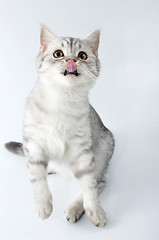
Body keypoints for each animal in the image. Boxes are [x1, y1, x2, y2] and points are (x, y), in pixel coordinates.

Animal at [4, 25, 114, 228]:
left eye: (82, 55)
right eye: (58, 54)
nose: (71, 60)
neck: (62, 99)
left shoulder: (83, 151)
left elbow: (89, 187)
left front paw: (95, 211)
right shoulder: (33, 143)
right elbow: (37, 178)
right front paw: (43, 205)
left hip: (103, 150)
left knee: (98, 183)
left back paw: (75, 208)